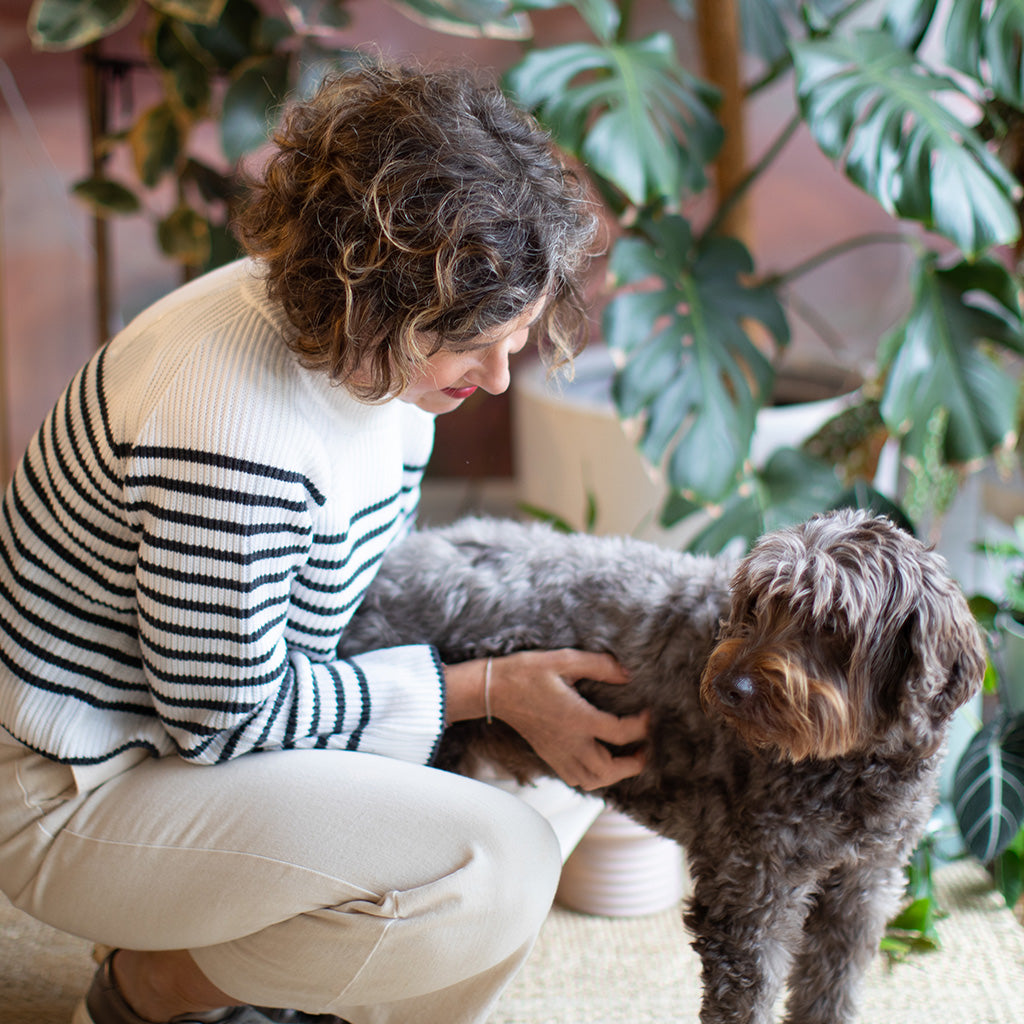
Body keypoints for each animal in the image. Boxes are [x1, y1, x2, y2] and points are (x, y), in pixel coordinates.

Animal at [337, 509, 983, 1024]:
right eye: (757, 602)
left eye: (830, 625)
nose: (730, 687)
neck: (851, 765)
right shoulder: (751, 896)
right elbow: (744, 1004)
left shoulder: (862, 888)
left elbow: (830, 994)